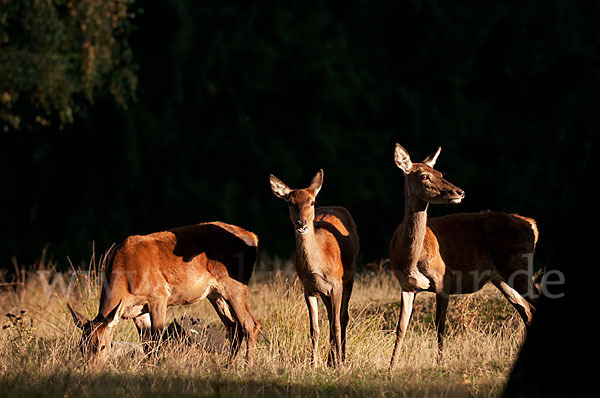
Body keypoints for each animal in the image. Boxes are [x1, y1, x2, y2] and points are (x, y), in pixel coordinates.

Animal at [67, 222, 262, 368]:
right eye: (81, 346)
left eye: (102, 346)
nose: (89, 369)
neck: (127, 280)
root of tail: (254, 237)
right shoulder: (138, 311)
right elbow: (146, 343)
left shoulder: (159, 296)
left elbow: (157, 338)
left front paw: (156, 368)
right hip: (215, 294)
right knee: (234, 326)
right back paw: (229, 366)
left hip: (235, 285)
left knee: (250, 324)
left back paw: (248, 366)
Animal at [270, 169, 358, 368]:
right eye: (290, 202)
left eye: (312, 202)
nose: (301, 223)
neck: (317, 266)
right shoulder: (308, 288)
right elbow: (314, 328)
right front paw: (313, 363)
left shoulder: (336, 283)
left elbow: (336, 324)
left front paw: (340, 364)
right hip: (324, 292)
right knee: (331, 317)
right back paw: (330, 360)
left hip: (350, 276)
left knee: (343, 317)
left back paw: (341, 358)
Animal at [390, 144, 540, 370]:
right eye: (424, 175)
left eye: (440, 173)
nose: (459, 192)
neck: (410, 259)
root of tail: (533, 224)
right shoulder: (406, 286)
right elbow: (401, 328)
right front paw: (391, 367)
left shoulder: (443, 279)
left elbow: (440, 325)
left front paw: (440, 364)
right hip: (502, 277)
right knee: (527, 311)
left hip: (519, 265)